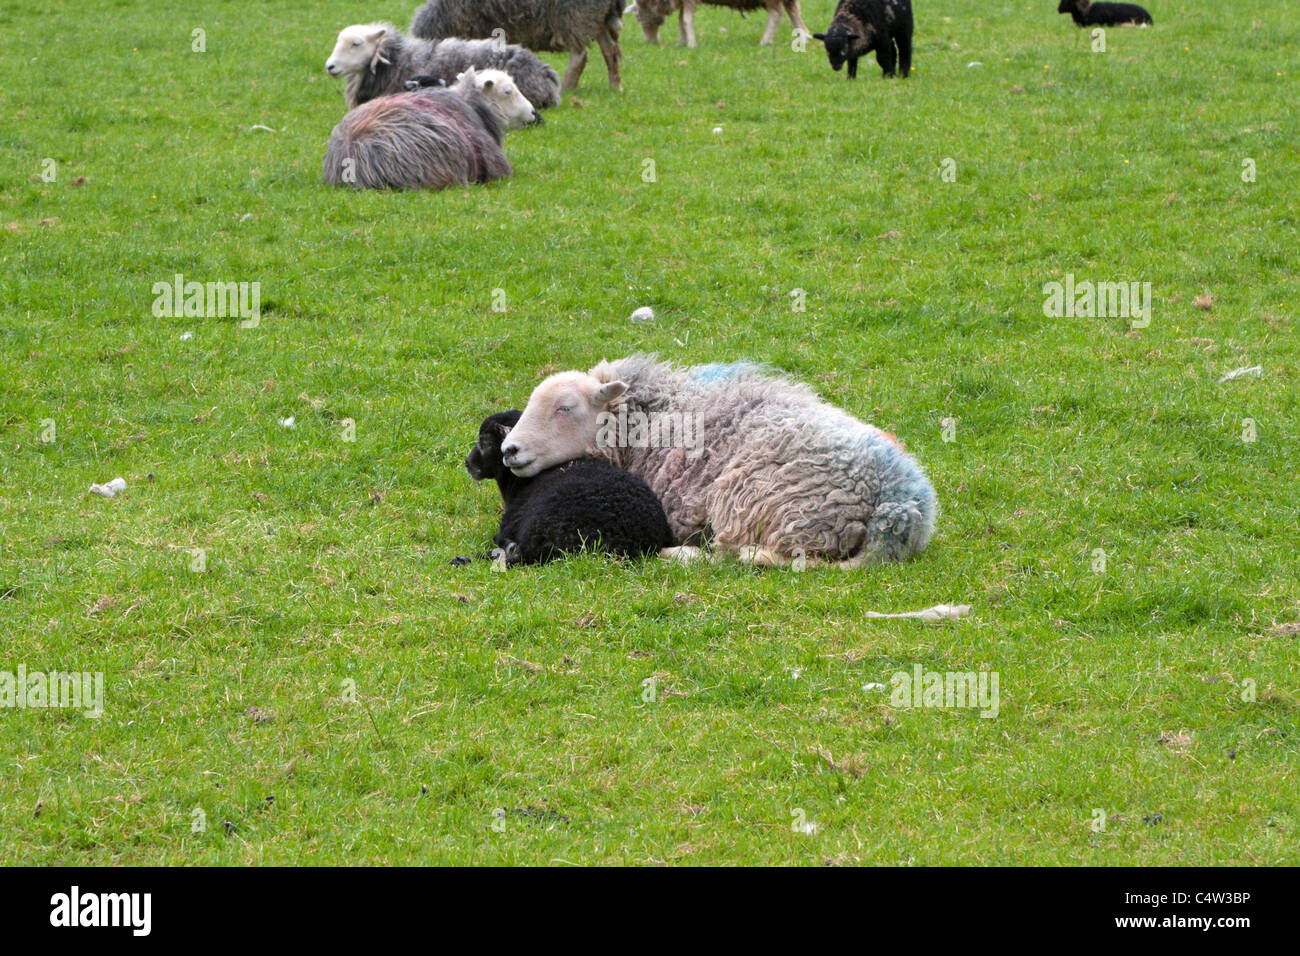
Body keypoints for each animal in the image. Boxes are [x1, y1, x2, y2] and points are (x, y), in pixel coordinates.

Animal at [410, 0, 624, 91]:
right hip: (597, 20)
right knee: (610, 50)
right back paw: (615, 86)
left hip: (575, 17)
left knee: (579, 57)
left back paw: (566, 87)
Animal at [493, 358, 935, 567]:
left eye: (564, 408)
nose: (508, 450)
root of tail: (901, 502)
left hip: (757, 505)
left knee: (737, 556)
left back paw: (686, 556)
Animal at [626, 0, 806, 48]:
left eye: (638, 17)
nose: (650, 42)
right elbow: (681, 20)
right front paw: (682, 42)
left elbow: (686, 20)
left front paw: (691, 43)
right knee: (794, 10)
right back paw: (804, 37)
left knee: (777, 13)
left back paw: (766, 40)